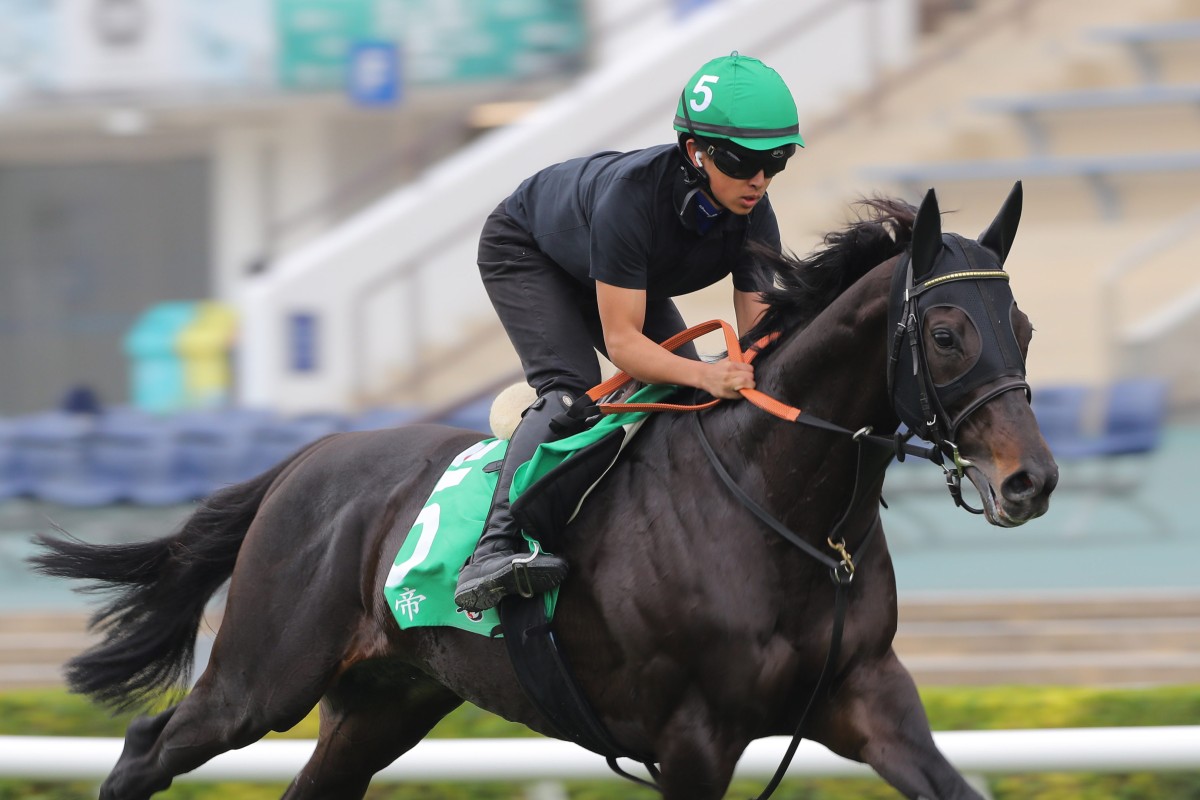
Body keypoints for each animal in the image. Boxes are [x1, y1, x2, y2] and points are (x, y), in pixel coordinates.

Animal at [30, 183, 1060, 800]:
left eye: (1023, 325)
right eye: (945, 335)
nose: (1033, 480)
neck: (788, 514)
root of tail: (306, 459)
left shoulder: (867, 695)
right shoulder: (694, 735)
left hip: (387, 697)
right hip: (264, 676)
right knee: (147, 749)